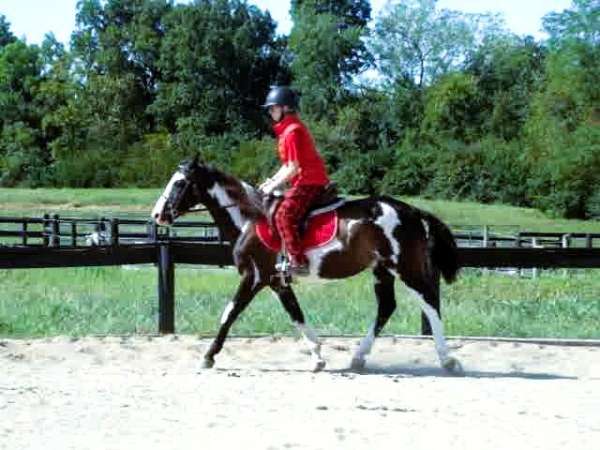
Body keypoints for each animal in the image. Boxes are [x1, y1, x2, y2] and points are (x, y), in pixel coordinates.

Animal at [152, 158, 462, 372]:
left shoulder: (254, 277)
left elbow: (229, 313)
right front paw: (318, 356)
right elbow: (296, 314)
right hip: (382, 271)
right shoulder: (277, 281)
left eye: (179, 183)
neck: (248, 220)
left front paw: (208, 356)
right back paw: (359, 356)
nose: (157, 214)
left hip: (405, 267)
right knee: (387, 307)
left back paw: (447, 360)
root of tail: (414, 211)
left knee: (430, 303)